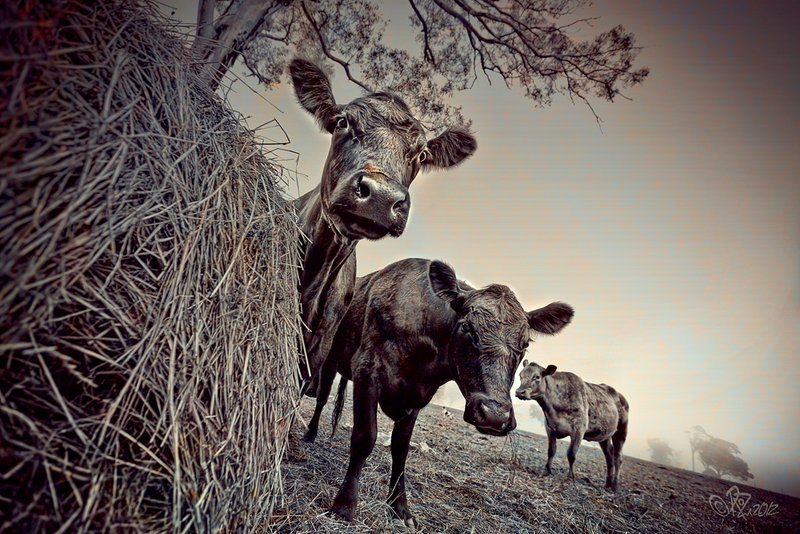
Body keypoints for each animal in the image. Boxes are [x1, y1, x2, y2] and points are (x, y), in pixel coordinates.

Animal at [304, 258, 574, 525]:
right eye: (468, 328)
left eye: (525, 344)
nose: (494, 416)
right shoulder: (367, 371)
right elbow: (364, 438)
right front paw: (344, 506)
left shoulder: (418, 397)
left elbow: (400, 449)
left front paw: (400, 508)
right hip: (329, 358)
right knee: (322, 397)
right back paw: (310, 434)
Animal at [514, 361, 629, 491]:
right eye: (520, 375)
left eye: (537, 377)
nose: (519, 392)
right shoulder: (549, 428)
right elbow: (551, 450)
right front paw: (546, 471)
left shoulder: (579, 429)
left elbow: (571, 454)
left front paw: (570, 476)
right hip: (604, 436)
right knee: (609, 456)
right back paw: (607, 484)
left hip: (621, 431)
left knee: (618, 457)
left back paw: (615, 485)